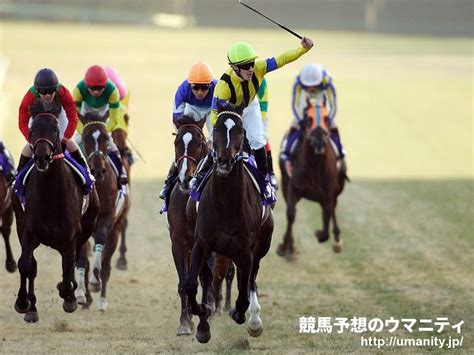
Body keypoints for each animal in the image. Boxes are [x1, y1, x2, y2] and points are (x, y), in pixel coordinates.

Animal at [12, 99, 99, 322]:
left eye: (55, 129)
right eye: (32, 130)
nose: (42, 158)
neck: (50, 195)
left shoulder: (71, 236)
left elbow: (68, 271)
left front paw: (69, 296)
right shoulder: (28, 231)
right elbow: (26, 265)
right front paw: (23, 303)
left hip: (86, 227)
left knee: (74, 260)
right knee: (32, 266)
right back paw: (31, 307)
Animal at [78, 113, 131, 312]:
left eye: (105, 139)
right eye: (85, 138)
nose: (98, 170)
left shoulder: (108, 218)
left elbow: (101, 240)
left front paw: (94, 281)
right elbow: (82, 259)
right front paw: (82, 294)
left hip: (116, 227)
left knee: (107, 264)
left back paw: (101, 300)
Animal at [185, 101, 274, 344]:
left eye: (240, 131)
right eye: (216, 128)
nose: (224, 161)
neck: (225, 203)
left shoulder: (245, 252)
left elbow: (243, 294)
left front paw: (241, 314)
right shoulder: (201, 244)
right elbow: (191, 284)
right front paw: (203, 316)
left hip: (261, 244)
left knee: (251, 278)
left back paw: (254, 320)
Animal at [276, 98, 346, 260]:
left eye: (327, 118)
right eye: (309, 118)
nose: (319, 141)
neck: (315, 165)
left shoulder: (328, 194)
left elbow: (326, 225)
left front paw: (320, 234)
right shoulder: (293, 187)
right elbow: (291, 214)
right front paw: (285, 247)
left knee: (333, 208)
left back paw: (337, 240)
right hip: (284, 183)